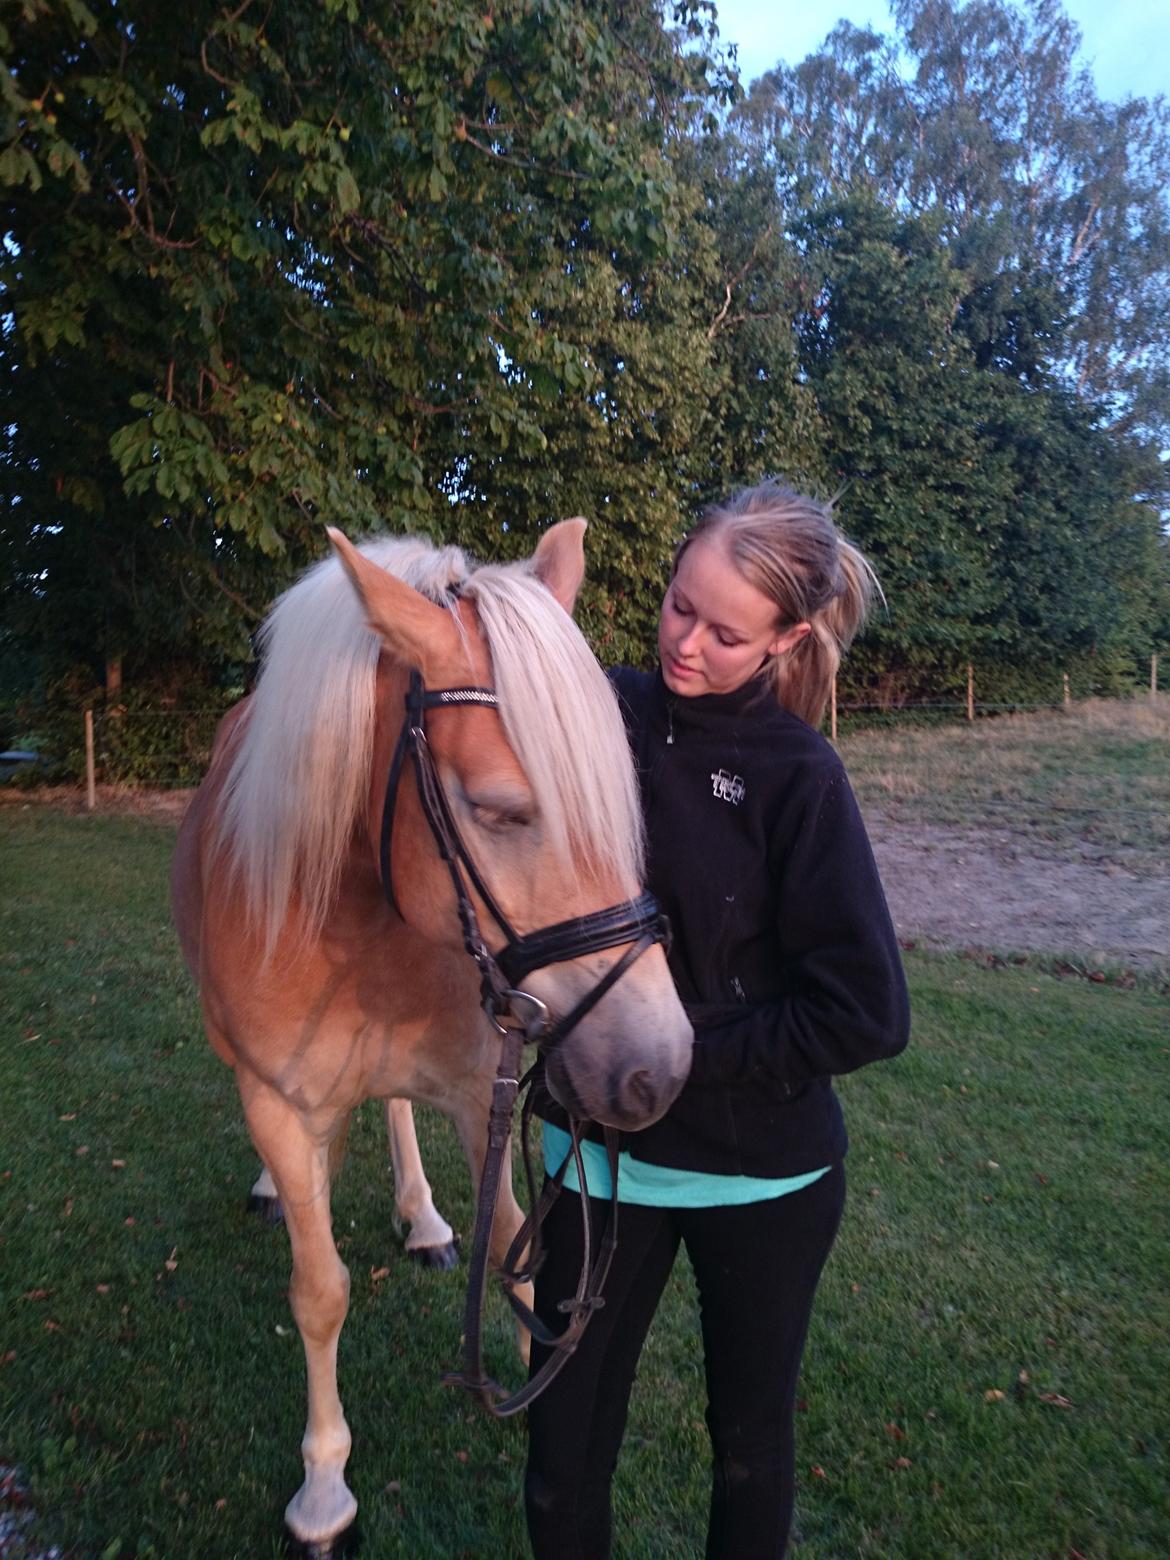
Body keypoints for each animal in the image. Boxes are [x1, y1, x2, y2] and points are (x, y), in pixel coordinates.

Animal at [169, 521, 692, 1547]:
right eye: (498, 809)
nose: (658, 1068)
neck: (356, 911)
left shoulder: (475, 1084)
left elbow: (521, 1247)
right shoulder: (281, 1104)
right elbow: (319, 1289)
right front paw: (323, 1488)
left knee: (397, 1115)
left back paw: (423, 1219)